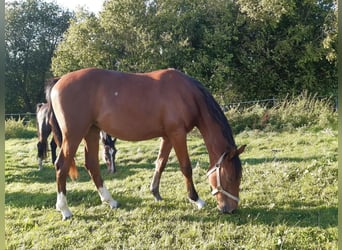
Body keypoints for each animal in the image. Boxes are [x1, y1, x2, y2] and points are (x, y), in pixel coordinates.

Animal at [47, 67, 246, 220]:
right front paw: (196, 199)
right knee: (61, 165)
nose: (230, 209)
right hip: (74, 135)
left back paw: (110, 201)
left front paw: (155, 193)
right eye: (230, 177)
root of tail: (59, 81)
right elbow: (186, 167)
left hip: (91, 132)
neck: (187, 94)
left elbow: (160, 163)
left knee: (92, 165)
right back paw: (65, 209)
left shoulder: (168, 136)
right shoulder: (177, 134)